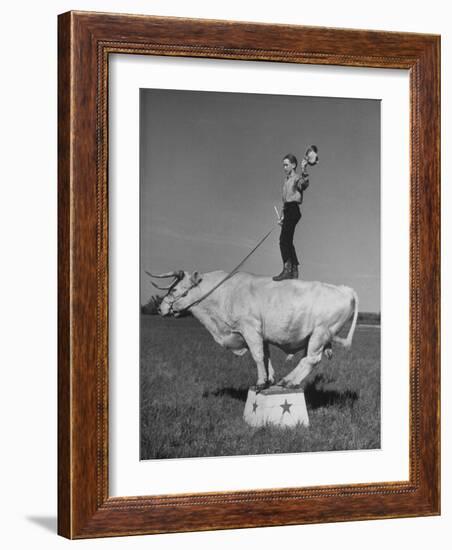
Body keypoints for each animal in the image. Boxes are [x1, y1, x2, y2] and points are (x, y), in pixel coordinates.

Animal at [152, 270, 356, 390]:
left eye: (175, 289)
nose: (159, 308)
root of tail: (345, 289)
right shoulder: (259, 335)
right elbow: (266, 357)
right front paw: (269, 379)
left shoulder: (249, 328)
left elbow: (257, 356)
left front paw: (260, 383)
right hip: (314, 337)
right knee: (307, 360)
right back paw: (287, 380)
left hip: (320, 334)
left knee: (312, 360)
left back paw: (289, 381)